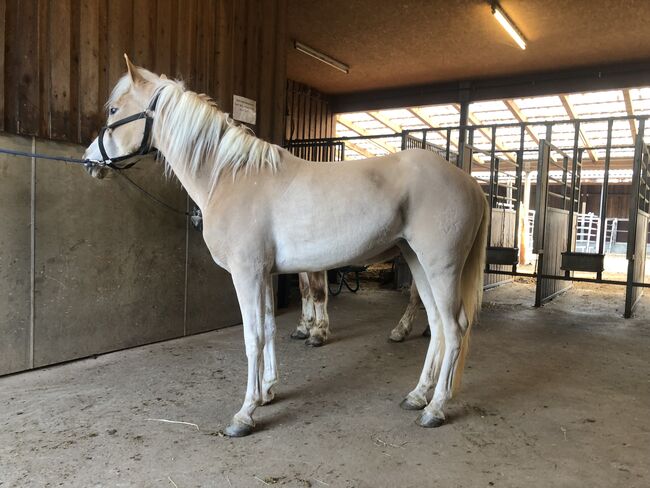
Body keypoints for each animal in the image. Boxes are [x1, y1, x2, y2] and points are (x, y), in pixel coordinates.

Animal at [82, 55, 486, 436]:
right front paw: (267, 392)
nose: (89, 161)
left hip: (440, 267)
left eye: (115, 110)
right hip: (416, 261)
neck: (230, 176)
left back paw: (435, 409)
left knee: (454, 328)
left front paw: (245, 414)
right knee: (436, 323)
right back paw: (418, 396)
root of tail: (469, 182)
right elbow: (269, 328)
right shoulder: (263, 274)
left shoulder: (246, 274)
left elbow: (253, 336)